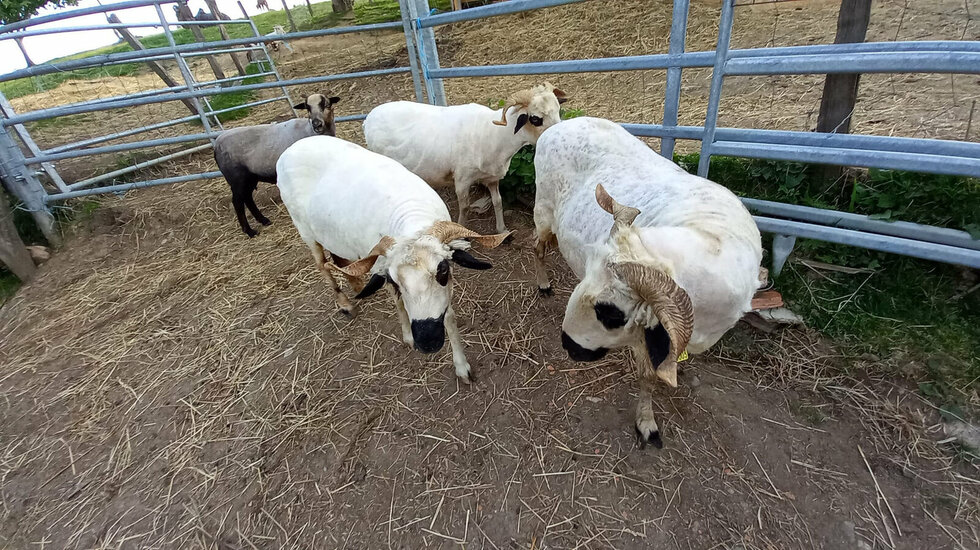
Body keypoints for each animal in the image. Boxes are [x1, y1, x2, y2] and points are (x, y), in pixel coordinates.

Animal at [212, 92, 338, 237]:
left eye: (326, 105)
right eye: (308, 108)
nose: (316, 124)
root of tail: (217, 144)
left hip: (250, 177)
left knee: (247, 198)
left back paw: (264, 220)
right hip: (237, 177)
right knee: (238, 202)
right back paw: (250, 231)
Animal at [272, 135, 510, 384]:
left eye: (443, 269)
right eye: (393, 280)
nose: (428, 342)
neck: (410, 220)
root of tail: (295, 146)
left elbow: (449, 318)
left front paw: (462, 367)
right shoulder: (381, 265)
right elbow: (398, 302)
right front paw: (408, 337)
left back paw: (356, 284)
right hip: (305, 231)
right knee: (322, 266)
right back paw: (345, 304)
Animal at [366, 83, 568, 234]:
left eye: (558, 110)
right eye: (535, 119)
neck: (493, 134)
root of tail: (368, 118)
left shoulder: (492, 177)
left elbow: (498, 202)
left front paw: (502, 229)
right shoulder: (462, 179)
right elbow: (465, 207)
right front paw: (462, 228)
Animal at [528, 116, 764, 448]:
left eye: (610, 312)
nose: (567, 345)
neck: (710, 235)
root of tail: (562, 123)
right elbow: (648, 377)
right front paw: (647, 423)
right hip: (543, 211)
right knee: (537, 248)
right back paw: (543, 284)